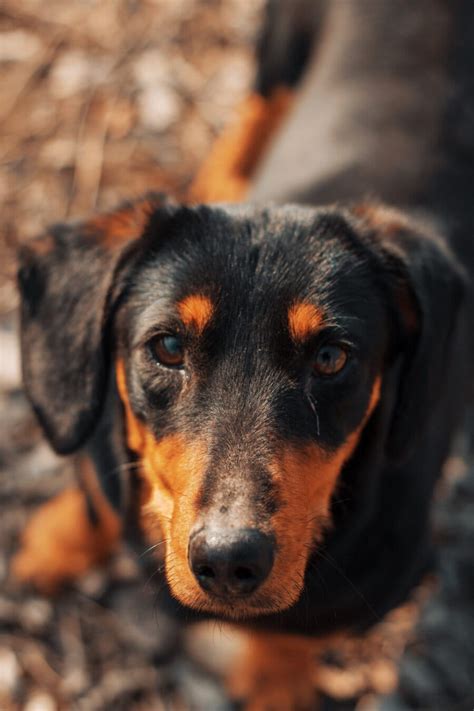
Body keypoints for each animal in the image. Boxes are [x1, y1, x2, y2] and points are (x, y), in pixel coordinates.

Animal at [12, 0, 474, 708]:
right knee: (257, 108)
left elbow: (299, 633)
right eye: (168, 346)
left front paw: (276, 681)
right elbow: (94, 482)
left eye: (332, 358)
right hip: (280, 47)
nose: (230, 561)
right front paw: (56, 544)